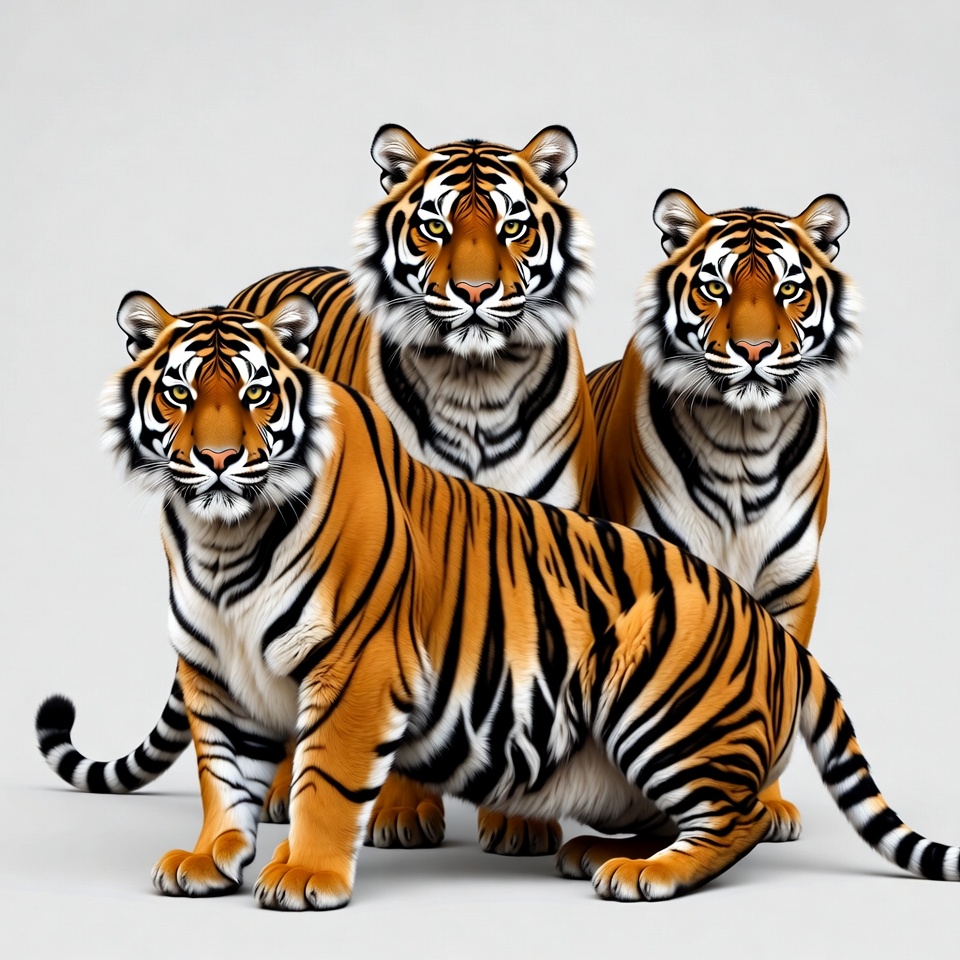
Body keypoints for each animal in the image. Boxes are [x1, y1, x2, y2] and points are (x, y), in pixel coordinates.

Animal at [36, 293, 960, 910]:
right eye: (180, 394)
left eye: (257, 394)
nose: (221, 460)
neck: (220, 541)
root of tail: (779, 639)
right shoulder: (215, 678)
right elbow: (221, 777)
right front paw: (211, 858)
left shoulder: (355, 668)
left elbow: (325, 779)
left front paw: (303, 874)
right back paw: (599, 852)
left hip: (662, 699)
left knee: (731, 817)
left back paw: (644, 873)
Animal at [226, 124, 595, 854]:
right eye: (434, 226)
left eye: (513, 226)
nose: (476, 291)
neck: (478, 384)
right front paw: (397, 811)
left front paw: (521, 821)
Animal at [587, 190, 860, 842]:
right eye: (715, 286)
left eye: (789, 289)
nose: (755, 351)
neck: (743, 441)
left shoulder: (792, 581)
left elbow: (779, 680)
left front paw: (769, 803)